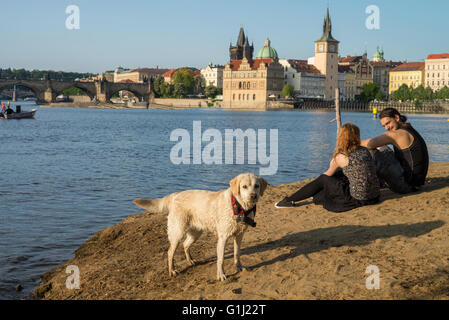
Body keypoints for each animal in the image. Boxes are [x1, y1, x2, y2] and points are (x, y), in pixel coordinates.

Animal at [133, 172, 266, 280]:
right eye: (244, 186)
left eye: (256, 186)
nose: (253, 196)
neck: (239, 206)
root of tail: (175, 195)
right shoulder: (223, 238)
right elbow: (221, 260)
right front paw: (221, 275)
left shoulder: (239, 235)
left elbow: (237, 254)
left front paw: (240, 267)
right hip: (177, 232)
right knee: (170, 252)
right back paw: (172, 270)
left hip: (195, 233)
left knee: (185, 245)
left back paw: (190, 260)